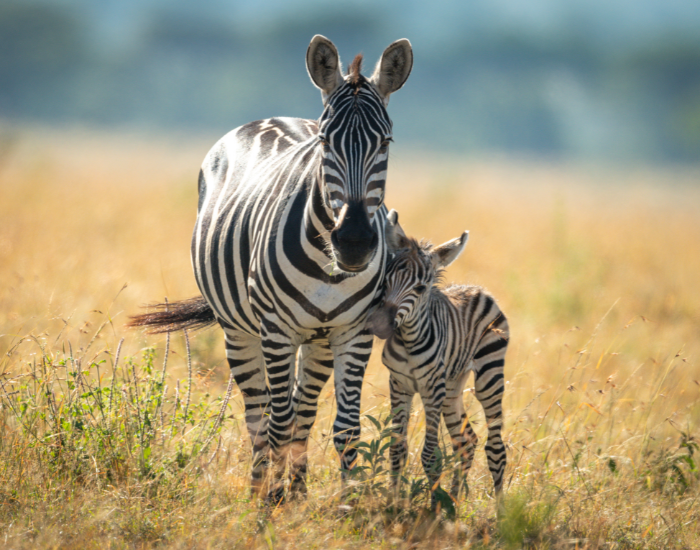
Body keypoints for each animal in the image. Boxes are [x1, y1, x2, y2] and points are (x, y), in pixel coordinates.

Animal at [129, 36, 413, 501]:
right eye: (325, 143)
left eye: (386, 142)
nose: (354, 242)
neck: (330, 269)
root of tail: (269, 118)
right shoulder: (277, 330)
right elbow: (277, 424)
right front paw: (269, 505)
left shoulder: (354, 332)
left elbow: (346, 429)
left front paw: (345, 505)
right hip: (240, 331)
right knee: (260, 415)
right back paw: (262, 486)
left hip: (317, 339)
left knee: (303, 410)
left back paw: (296, 491)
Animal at [366, 210, 509, 502]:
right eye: (385, 280)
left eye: (421, 288)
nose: (377, 326)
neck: (409, 340)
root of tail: (478, 289)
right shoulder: (399, 385)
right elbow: (397, 449)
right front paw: (394, 504)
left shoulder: (432, 389)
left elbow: (431, 456)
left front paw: (433, 508)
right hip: (452, 385)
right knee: (466, 441)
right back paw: (454, 500)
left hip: (488, 375)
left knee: (495, 448)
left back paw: (501, 509)